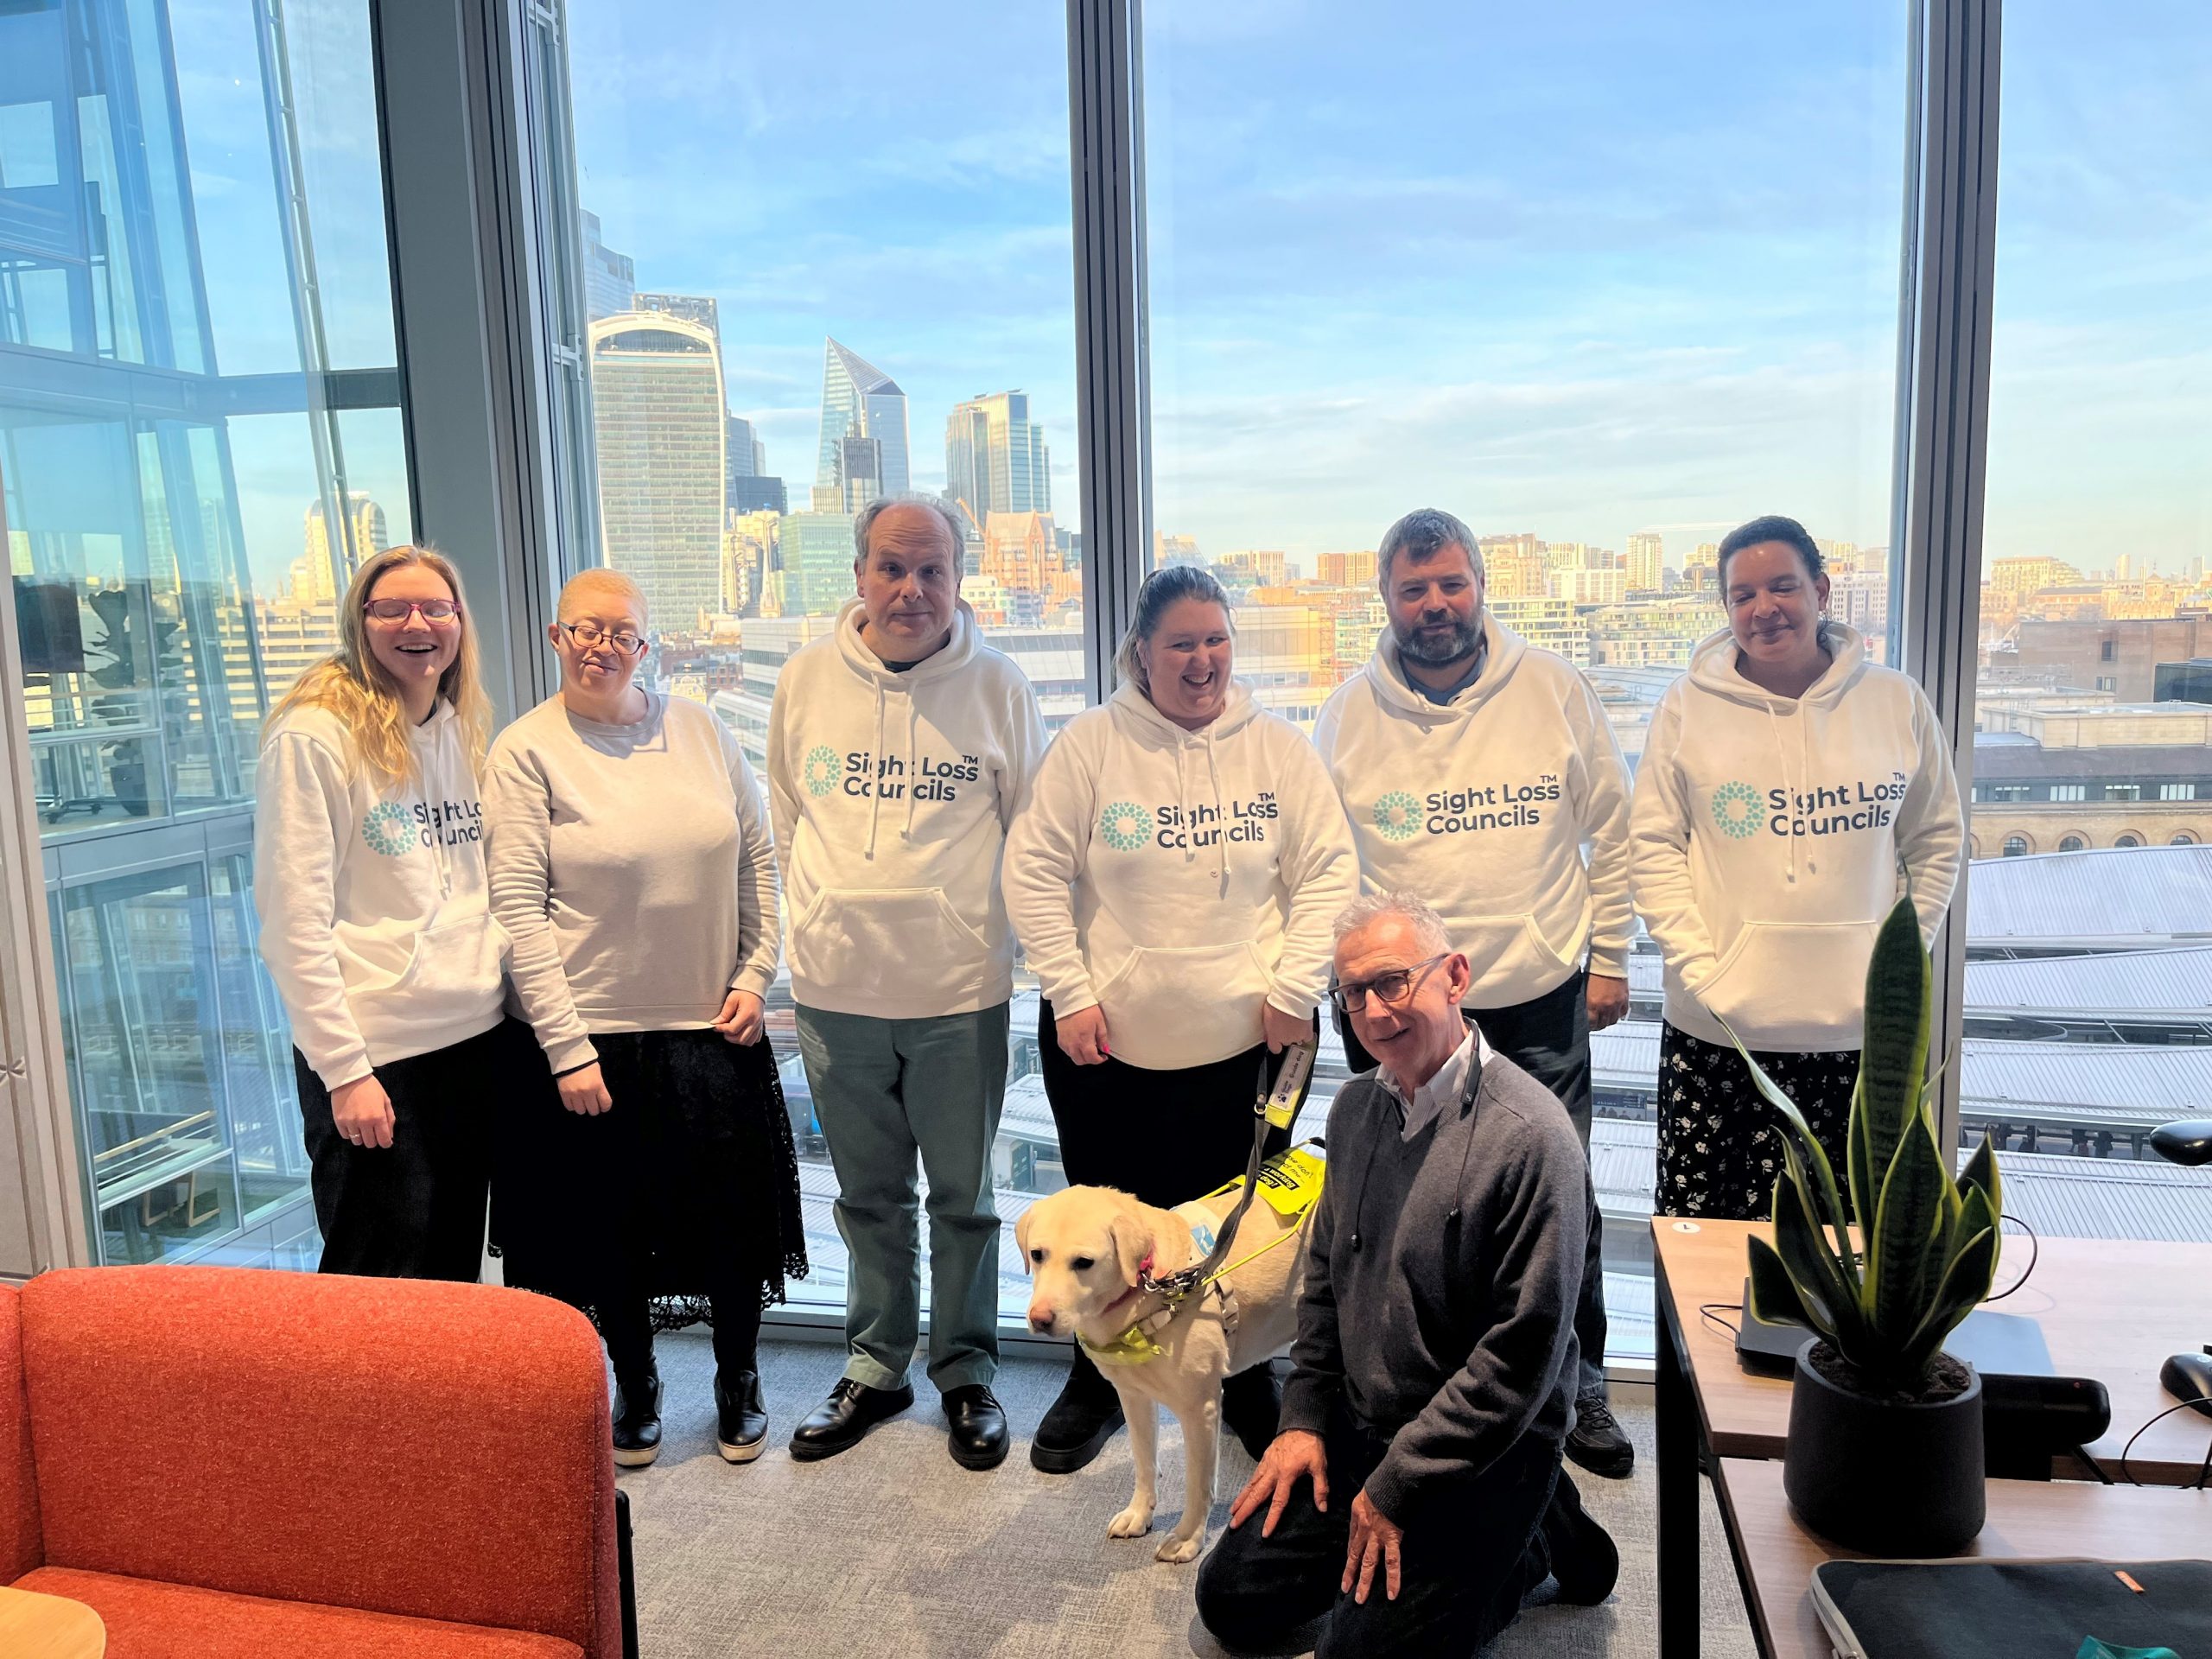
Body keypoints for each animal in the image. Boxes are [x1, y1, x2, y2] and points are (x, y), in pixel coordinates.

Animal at [1017, 1176, 1309, 1566]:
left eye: (1084, 1262)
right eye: (1037, 1255)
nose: (1040, 1319)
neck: (1151, 1286)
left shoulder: (1200, 1411)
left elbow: (1198, 1485)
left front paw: (1188, 1538)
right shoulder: (1133, 1397)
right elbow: (1144, 1463)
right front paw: (1140, 1514)